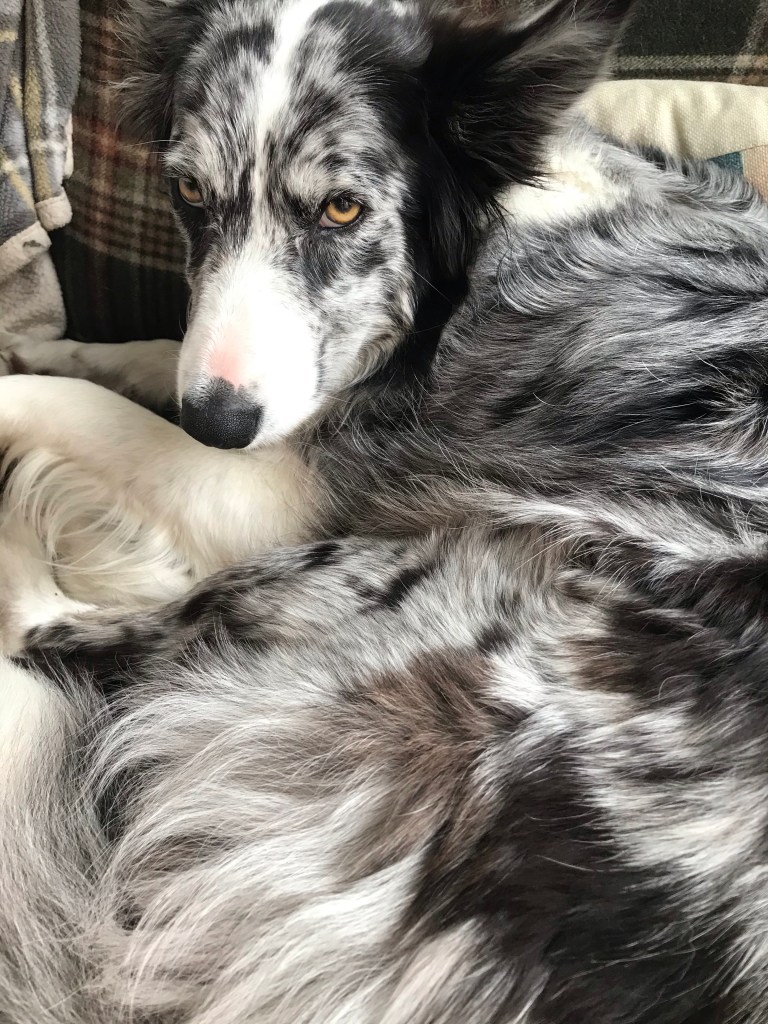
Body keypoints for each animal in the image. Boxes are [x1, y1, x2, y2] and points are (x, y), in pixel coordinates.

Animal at [2, 0, 768, 1020]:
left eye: (342, 208)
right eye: (190, 193)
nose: (217, 423)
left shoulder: (279, 495)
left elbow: (79, 411)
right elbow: (147, 357)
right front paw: (66, 346)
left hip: (386, 578)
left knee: (46, 633)